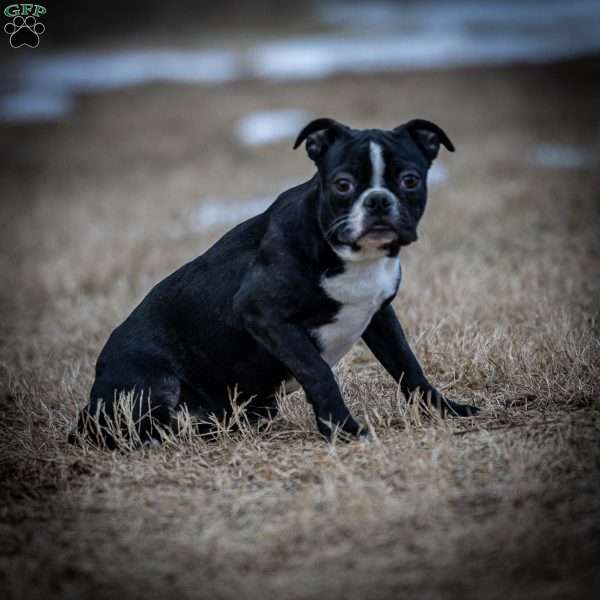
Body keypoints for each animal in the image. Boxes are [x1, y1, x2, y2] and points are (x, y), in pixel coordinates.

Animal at [72, 118, 480, 446]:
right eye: (342, 185)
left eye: (410, 180)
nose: (378, 201)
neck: (348, 255)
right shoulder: (264, 314)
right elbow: (318, 372)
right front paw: (344, 431)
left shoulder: (380, 315)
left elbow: (408, 367)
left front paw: (447, 410)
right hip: (155, 384)